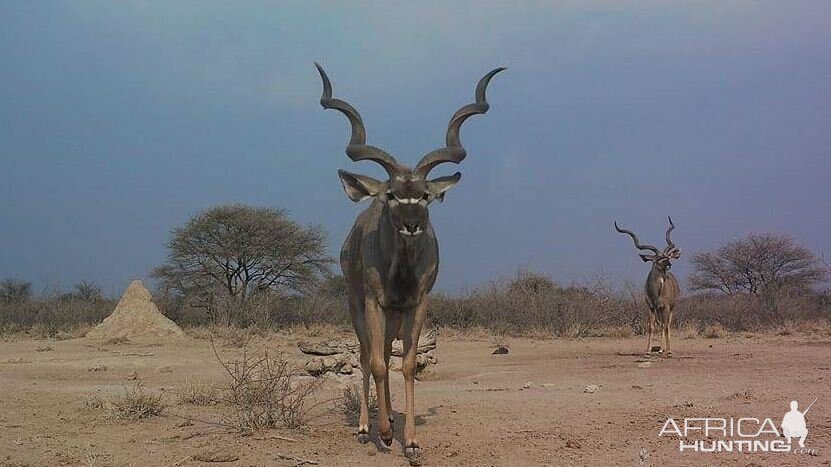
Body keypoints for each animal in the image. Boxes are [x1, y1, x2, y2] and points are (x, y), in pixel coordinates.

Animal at [316, 62, 504, 458]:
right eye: (391, 194)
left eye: (425, 196)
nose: (412, 224)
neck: (400, 273)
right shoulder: (373, 302)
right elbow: (374, 362)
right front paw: (385, 434)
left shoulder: (417, 304)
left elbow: (406, 364)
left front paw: (411, 440)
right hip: (357, 305)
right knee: (367, 355)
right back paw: (366, 428)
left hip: (392, 317)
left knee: (386, 353)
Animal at [616, 218, 684, 356]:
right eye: (658, 258)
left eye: (667, 257)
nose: (669, 264)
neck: (656, 293)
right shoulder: (651, 307)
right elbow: (651, 327)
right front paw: (648, 351)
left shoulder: (666, 307)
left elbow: (666, 327)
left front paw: (669, 351)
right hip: (659, 311)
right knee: (661, 325)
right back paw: (660, 349)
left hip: (671, 308)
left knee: (666, 325)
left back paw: (665, 350)